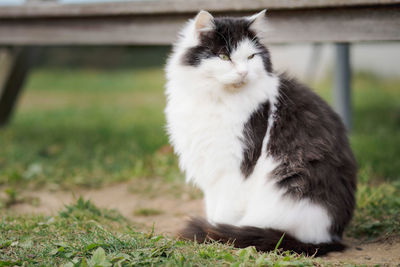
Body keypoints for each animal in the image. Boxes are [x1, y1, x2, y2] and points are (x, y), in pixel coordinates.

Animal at [164, 9, 358, 258]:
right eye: (224, 57)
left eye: (251, 57)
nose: (243, 72)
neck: (216, 99)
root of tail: (332, 237)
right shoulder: (212, 172)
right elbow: (212, 210)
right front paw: (213, 232)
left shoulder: (235, 168)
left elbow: (223, 214)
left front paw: (216, 238)